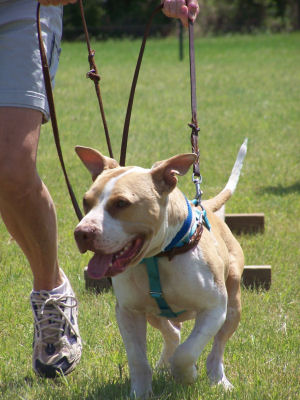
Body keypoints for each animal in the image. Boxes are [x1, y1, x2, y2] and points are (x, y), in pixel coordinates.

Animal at [74, 139, 247, 398]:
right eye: (86, 201)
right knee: (173, 333)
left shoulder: (214, 308)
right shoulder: (128, 312)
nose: (82, 233)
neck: (158, 257)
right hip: (152, 313)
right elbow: (137, 359)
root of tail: (204, 205)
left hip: (233, 306)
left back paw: (218, 379)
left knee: (217, 346)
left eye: (121, 203)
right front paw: (140, 392)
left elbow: (187, 352)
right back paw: (165, 366)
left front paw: (187, 375)